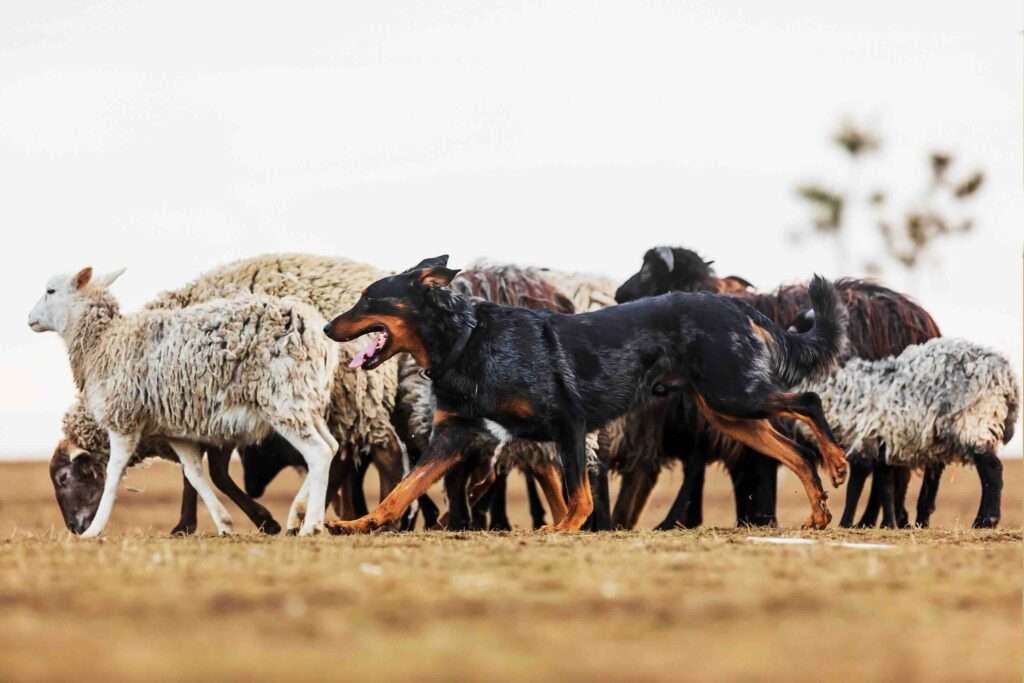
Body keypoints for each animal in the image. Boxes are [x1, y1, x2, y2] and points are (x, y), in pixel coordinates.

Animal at [49, 254, 408, 534]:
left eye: (64, 478)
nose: (74, 528)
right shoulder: (195, 419)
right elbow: (196, 474)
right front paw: (193, 524)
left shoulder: (209, 416)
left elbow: (212, 476)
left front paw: (257, 521)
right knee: (342, 455)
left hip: (343, 398)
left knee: (378, 452)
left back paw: (375, 522)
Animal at [793, 337, 1020, 528]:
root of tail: (1006, 376)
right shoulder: (881, 445)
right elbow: (884, 486)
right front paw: (882, 523)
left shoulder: (862, 443)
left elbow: (855, 487)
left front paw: (846, 523)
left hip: (975, 421)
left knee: (992, 470)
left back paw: (985, 520)